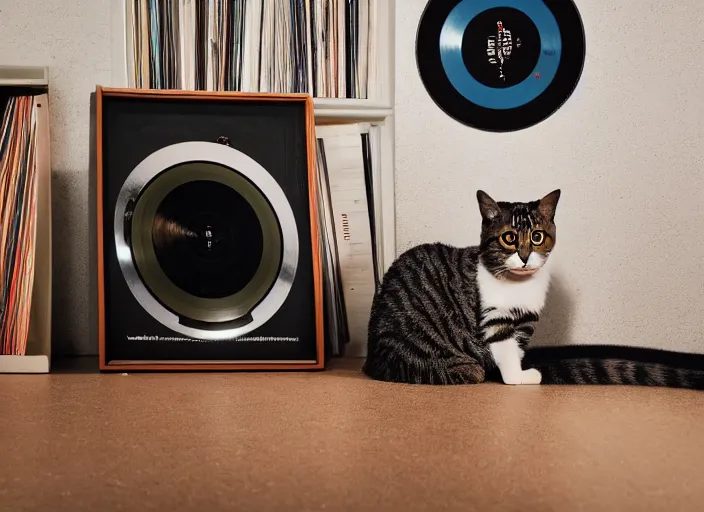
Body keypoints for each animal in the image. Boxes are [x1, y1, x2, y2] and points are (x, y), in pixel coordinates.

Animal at [364, 189, 704, 388]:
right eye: (509, 238)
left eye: (538, 237)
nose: (526, 256)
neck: (520, 287)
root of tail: (371, 359)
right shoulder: (496, 319)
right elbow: (504, 351)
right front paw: (518, 378)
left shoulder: (524, 324)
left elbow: (514, 350)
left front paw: (519, 370)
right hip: (444, 361)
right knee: (469, 370)